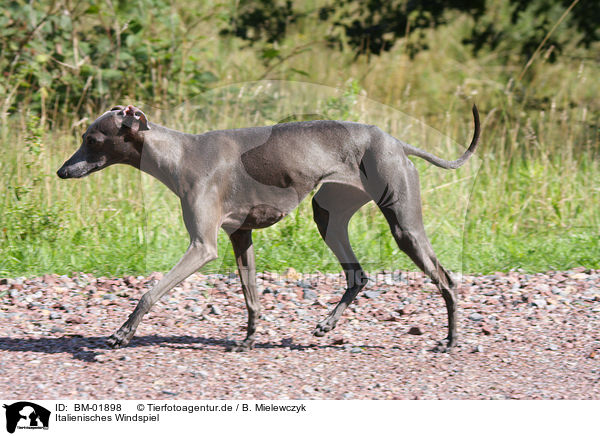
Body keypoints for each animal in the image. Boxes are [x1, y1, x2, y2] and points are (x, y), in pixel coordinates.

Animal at [58, 104, 480, 352]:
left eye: (91, 139)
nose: (61, 171)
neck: (179, 155)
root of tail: (395, 142)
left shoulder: (202, 246)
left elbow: (150, 292)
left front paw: (122, 333)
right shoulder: (239, 236)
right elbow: (251, 296)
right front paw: (248, 338)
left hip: (404, 224)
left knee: (447, 279)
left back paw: (451, 340)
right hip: (328, 215)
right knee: (357, 275)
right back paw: (326, 325)